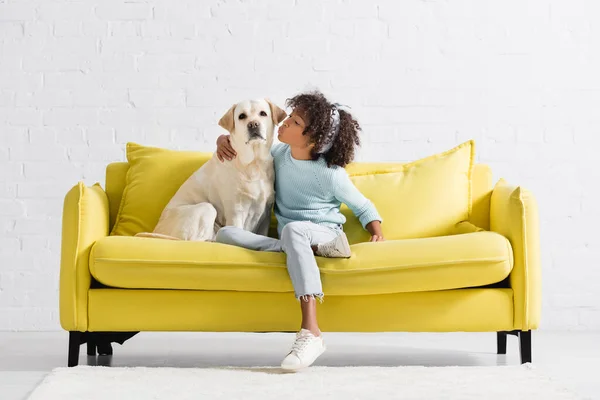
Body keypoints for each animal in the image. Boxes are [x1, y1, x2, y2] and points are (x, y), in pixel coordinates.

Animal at [136, 98, 286, 241]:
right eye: (242, 116)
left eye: (263, 113)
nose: (253, 124)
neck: (253, 163)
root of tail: (155, 230)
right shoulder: (235, 212)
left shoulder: (265, 214)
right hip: (207, 208)